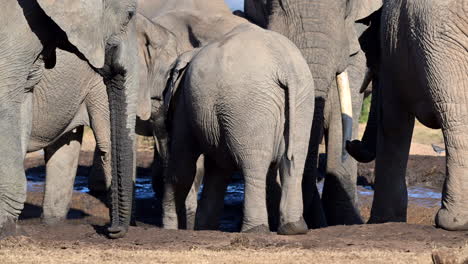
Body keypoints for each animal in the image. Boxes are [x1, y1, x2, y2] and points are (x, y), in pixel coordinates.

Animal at [155, 22, 316, 233]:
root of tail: (284, 64)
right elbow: (218, 169)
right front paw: (205, 229)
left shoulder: (184, 105)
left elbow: (183, 167)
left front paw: (170, 229)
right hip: (302, 99)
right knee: (294, 160)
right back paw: (294, 228)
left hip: (249, 103)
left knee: (254, 165)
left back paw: (255, 230)